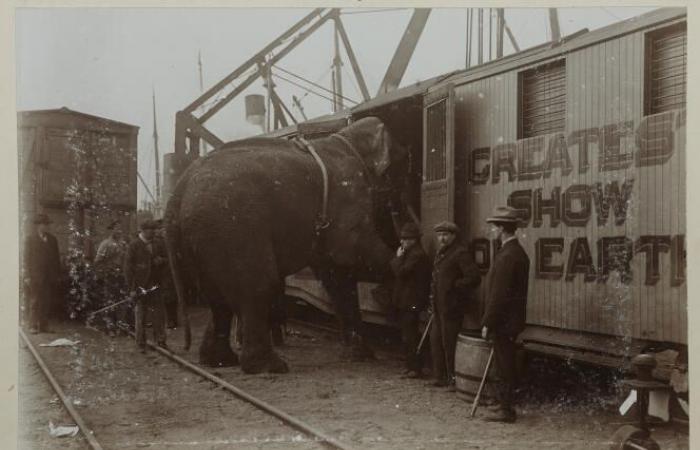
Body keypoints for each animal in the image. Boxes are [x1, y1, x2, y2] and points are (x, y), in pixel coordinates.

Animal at [165, 116, 410, 372]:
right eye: (404, 160)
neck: (347, 137)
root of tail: (178, 191)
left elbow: (337, 273)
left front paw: (360, 355)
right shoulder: (347, 196)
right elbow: (354, 251)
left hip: (201, 236)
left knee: (217, 296)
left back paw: (218, 361)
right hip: (233, 227)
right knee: (260, 284)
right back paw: (269, 366)